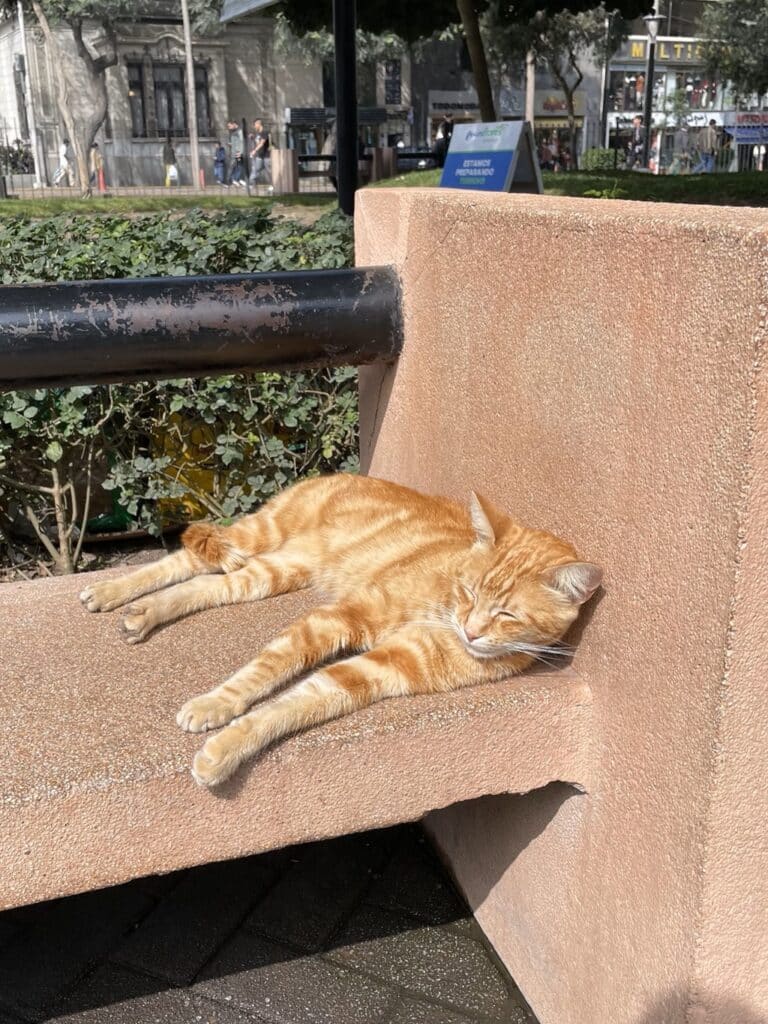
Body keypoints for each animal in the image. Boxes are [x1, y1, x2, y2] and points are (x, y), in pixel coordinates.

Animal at [81, 475, 606, 786]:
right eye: (468, 590)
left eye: (508, 615)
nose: (471, 631)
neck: (441, 608)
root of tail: (336, 473)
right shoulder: (338, 619)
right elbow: (264, 671)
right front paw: (215, 704)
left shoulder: (382, 668)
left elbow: (293, 704)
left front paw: (227, 747)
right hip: (260, 536)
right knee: (185, 558)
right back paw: (111, 590)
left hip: (272, 572)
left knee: (206, 583)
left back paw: (144, 612)